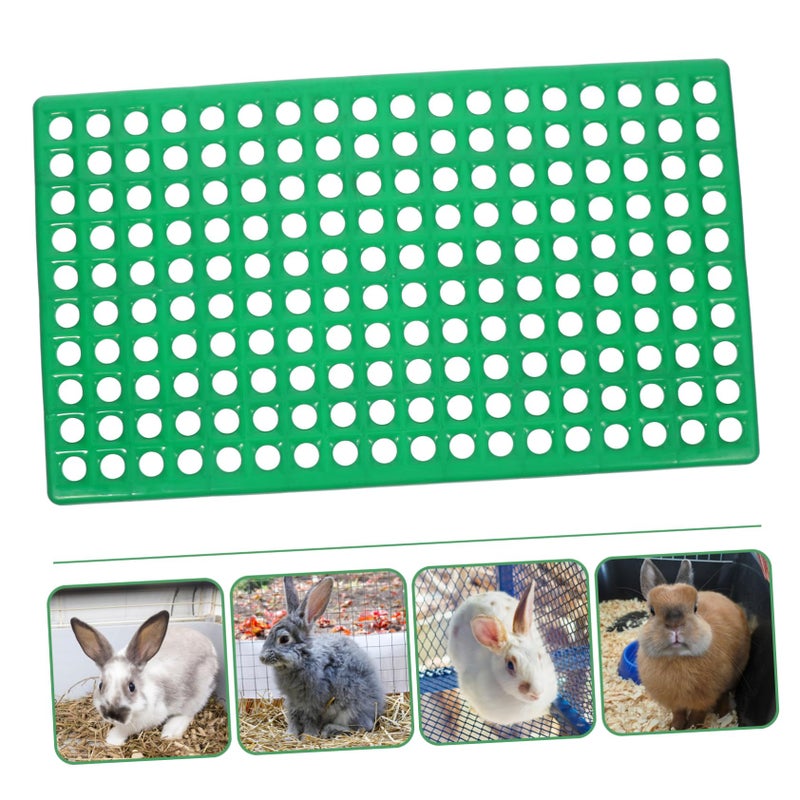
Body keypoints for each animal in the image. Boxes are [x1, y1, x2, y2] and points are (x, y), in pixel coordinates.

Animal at [70, 610, 219, 746]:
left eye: (132, 687)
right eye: (100, 685)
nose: (112, 715)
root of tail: (211, 646)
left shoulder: (150, 716)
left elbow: (125, 729)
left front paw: (113, 739)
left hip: (197, 694)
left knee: (188, 713)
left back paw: (170, 732)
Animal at [259, 576, 386, 738]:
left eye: (284, 639)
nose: (262, 658)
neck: (303, 659)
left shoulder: (314, 702)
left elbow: (310, 719)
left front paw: (309, 736)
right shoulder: (292, 702)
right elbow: (292, 717)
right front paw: (290, 736)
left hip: (350, 709)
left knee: (363, 727)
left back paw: (329, 730)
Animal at [637, 559, 752, 730]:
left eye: (695, 608)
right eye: (652, 610)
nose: (675, 625)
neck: (677, 658)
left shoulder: (705, 698)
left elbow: (698, 715)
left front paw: (693, 727)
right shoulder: (675, 702)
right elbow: (678, 714)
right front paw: (674, 727)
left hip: (735, 672)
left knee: (725, 694)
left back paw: (723, 714)